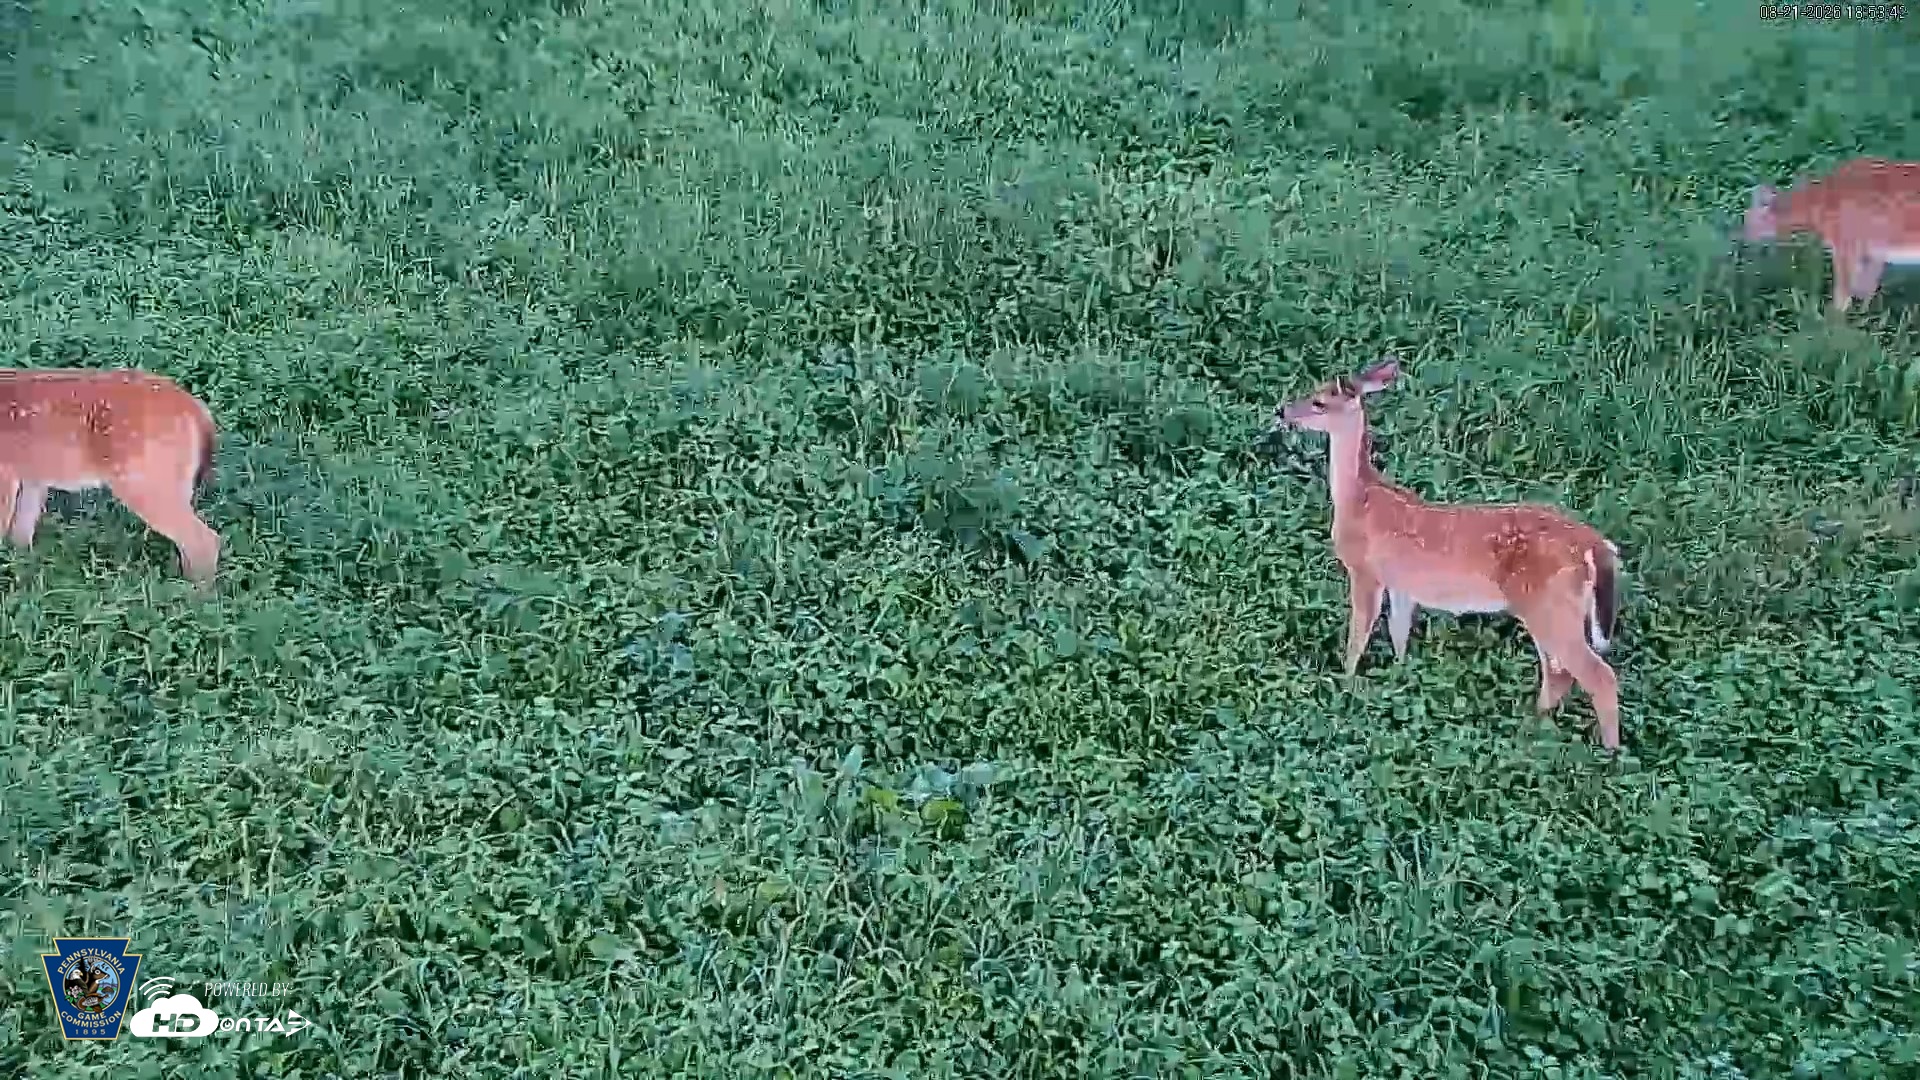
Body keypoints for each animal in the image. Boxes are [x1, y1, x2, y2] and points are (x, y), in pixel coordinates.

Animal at [0, 368, 221, 586]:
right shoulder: (31, 477)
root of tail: (197, 410)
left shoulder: (6, 472)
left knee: (203, 540)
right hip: (176, 482)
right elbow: (20, 536)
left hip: (143, 478)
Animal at [1268, 356, 1624, 750]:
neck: (1359, 497)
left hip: (1549, 605)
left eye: (1319, 401)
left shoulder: (1365, 570)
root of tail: (1594, 545)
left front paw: (1345, 682)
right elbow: (1399, 632)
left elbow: (1359, 634)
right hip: (1549, 607)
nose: (1282, 410)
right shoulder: (1402, 583)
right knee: (1559, 671)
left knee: (1598, 676)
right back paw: (1533, 725)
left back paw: (1608, 752)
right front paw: (1401, 676)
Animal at [1742, 156, 1920, 313]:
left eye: (1746, 218)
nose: (1742, 239)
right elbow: (1863, 291)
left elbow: (1843, 295)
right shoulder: (1870, 253)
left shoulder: (1846, 246)